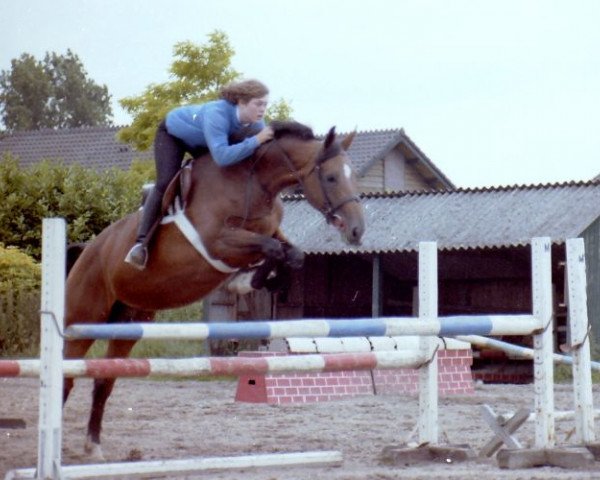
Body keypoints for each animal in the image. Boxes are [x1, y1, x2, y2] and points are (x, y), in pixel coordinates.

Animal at [64, 120, 366, 458]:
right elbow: (272, 249)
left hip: (129, 323)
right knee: (65, 378)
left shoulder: (269, 232)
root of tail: (88, 249)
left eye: (353, 174)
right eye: (330, 177)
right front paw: (245, 281)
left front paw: (259, 280)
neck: (255, 182)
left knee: (104, 381)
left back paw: (93, 446)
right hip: (83, 321)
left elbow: (293, 254)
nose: (357, 230)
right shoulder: (219, 242)